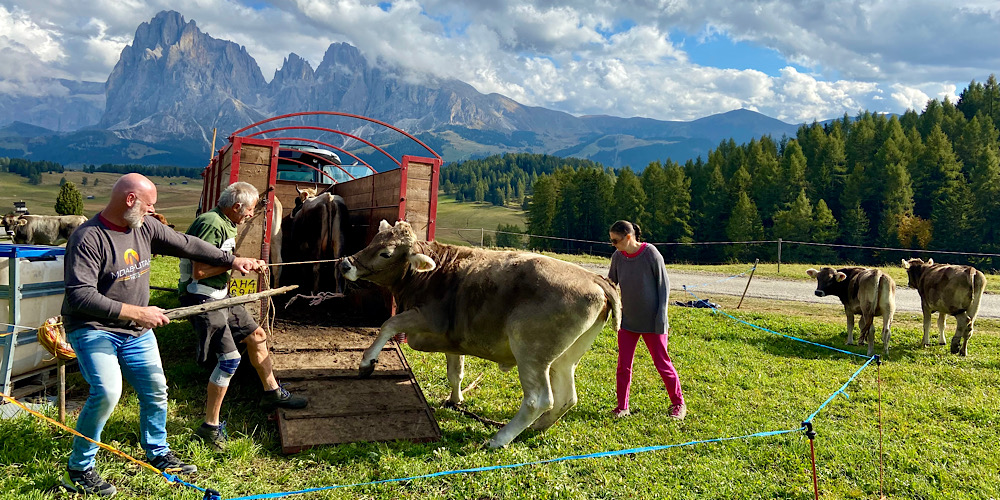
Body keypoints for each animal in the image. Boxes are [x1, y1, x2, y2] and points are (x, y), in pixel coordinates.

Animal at [340, 221, 620, 448]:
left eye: (386, 253)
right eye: (373, 241)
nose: (345, 264)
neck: (429, 275)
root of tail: (594, 278)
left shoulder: (429, 319)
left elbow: (389, 323)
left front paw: (367, 361)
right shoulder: (453, 341)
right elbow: (455, 373)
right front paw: (455, 399)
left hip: (531, 352)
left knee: (538, 400)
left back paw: (500, 438)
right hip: (565, 359)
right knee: (567, 398)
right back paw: (537, 427)